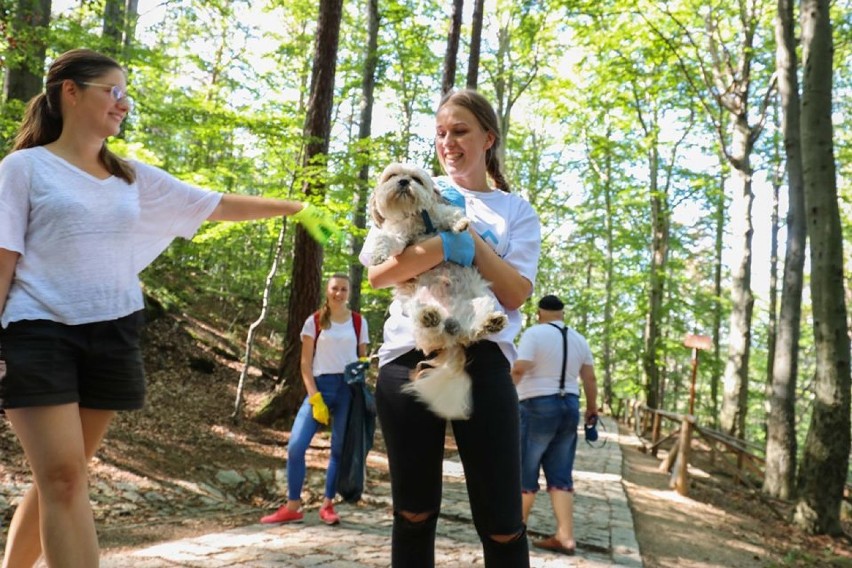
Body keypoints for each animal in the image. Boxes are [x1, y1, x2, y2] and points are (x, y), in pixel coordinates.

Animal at [366, 162, 506, 420]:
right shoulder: (398, 237)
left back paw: (490, 322)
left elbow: (448, 214)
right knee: (429, 333)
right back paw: (430, 317)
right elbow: (385, 240)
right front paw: (378, 255)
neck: (415, 219)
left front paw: (460, 225)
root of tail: (452, 329)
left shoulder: (437, 214)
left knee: (473, 329)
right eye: (393, 175)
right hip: (415, 306)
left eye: (417, 179)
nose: (404, 182)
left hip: (482, 300)